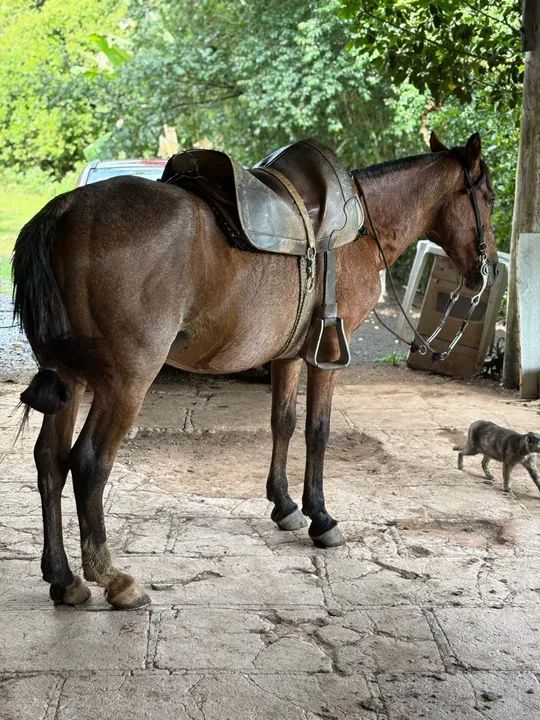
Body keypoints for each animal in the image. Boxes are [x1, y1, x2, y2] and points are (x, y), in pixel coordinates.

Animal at [12, 132, 497, 609]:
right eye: (489, 198)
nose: (485, 272)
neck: (359, 230)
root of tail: (66, 208)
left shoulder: (286, 357)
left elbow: (283, 423)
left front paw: (285, 505)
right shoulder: (326, 359)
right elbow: (317, 431)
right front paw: (321, 517)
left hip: (70, 380)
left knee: (50, 460)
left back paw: (64, 579)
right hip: (125, 383)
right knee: (89, 463)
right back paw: (113, 579)